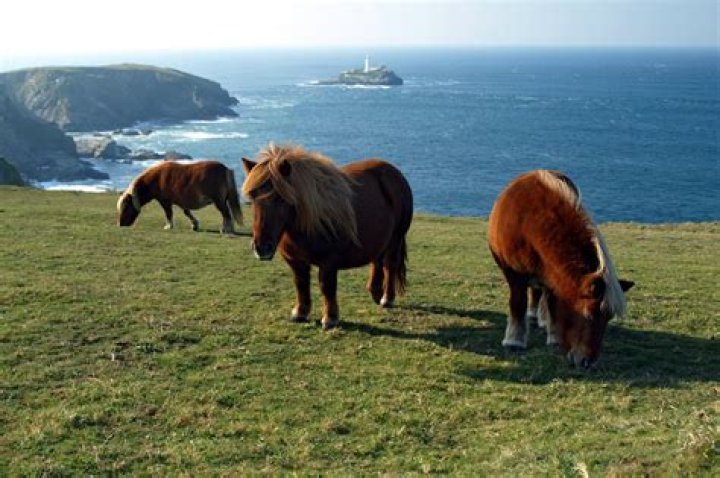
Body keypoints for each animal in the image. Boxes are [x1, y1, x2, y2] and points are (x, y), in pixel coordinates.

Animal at [242, 144, 413, 330]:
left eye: (280, 198)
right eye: (252, 198)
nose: (262, 248)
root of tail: (395, 173)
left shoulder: (328, 262)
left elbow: (327, 287)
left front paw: (330, 318)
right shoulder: (295, 261)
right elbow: (300, 284)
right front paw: (300, 313)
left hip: (396, 239)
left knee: (390, 264)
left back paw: (387, 298)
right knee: (377, 261)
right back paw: (375, 291)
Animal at [488, 170, 634, 368]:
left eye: (608, 318)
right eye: (588, 315)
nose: (587, 362)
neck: (532, 223)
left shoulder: (553, 275)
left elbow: (553, 305)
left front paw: (554, 337)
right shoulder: (515, 274)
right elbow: (518, 303)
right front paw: (514, 341)